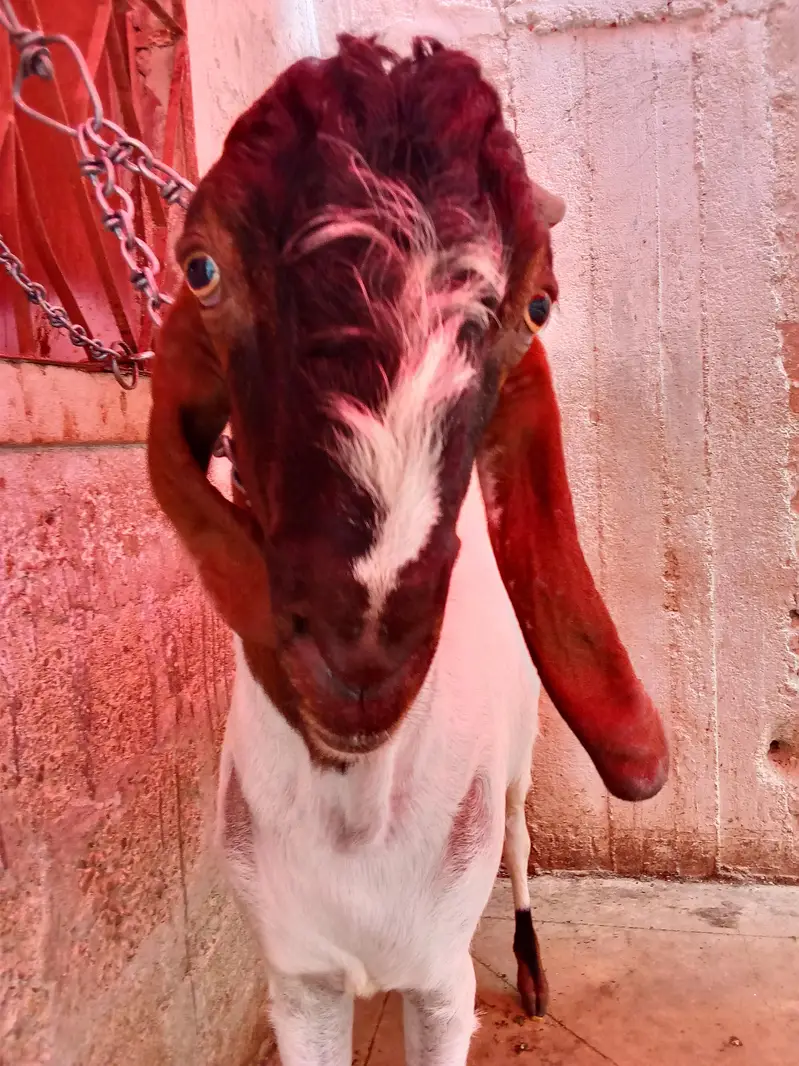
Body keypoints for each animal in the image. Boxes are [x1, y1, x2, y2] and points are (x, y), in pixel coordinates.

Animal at [147, 36, 668, 1066]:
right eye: (201, 270)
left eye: (536, 308)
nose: (361, 658)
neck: (357, 819)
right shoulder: (299, 986)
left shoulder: (440, 985)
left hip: (516, 770)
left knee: (519, 848)